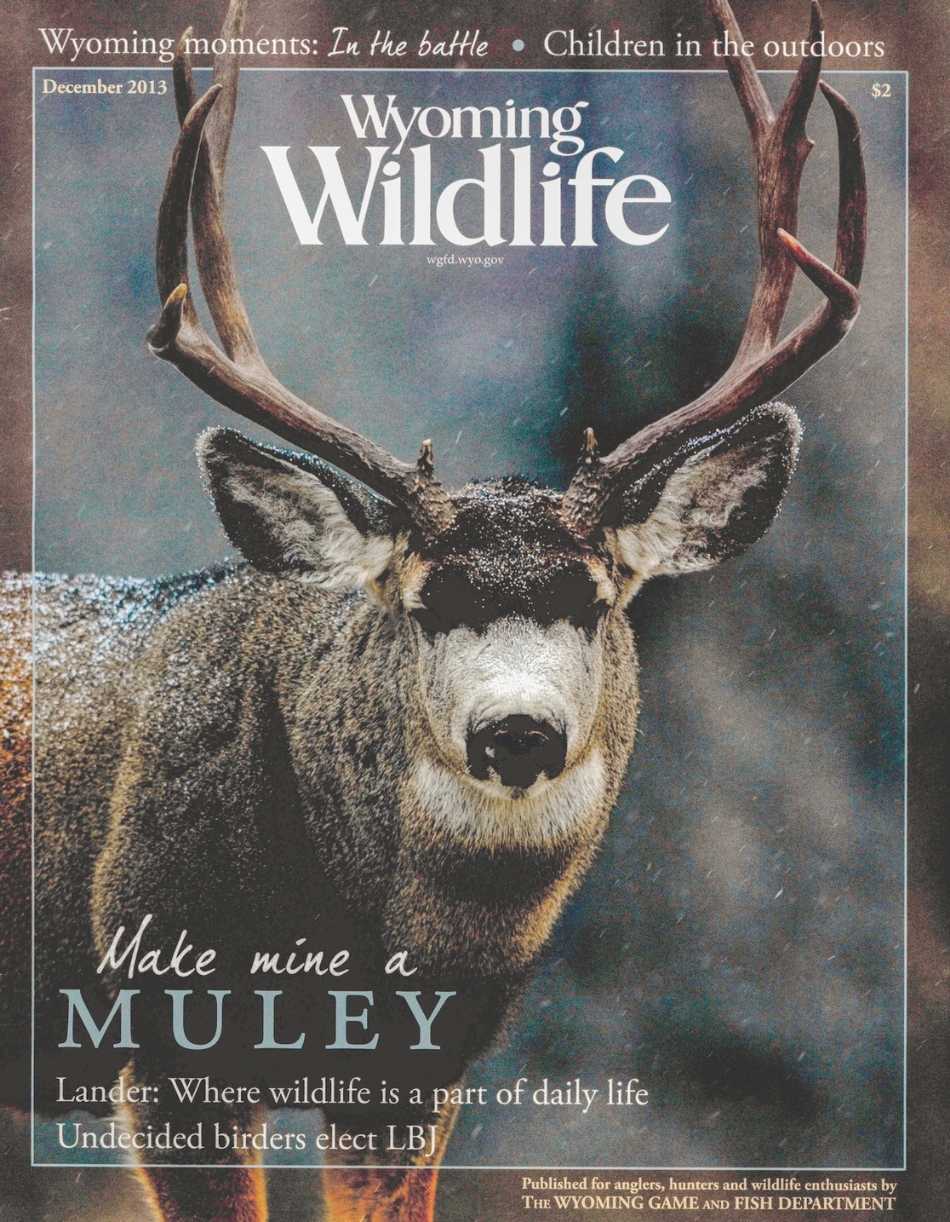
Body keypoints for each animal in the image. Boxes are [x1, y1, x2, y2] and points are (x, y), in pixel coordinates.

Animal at [0, 0, 867, 1217]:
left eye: (594, 596)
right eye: (423, 600)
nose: (516, 729)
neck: (371, 941)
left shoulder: (417, 1076)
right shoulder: (163, 1041)